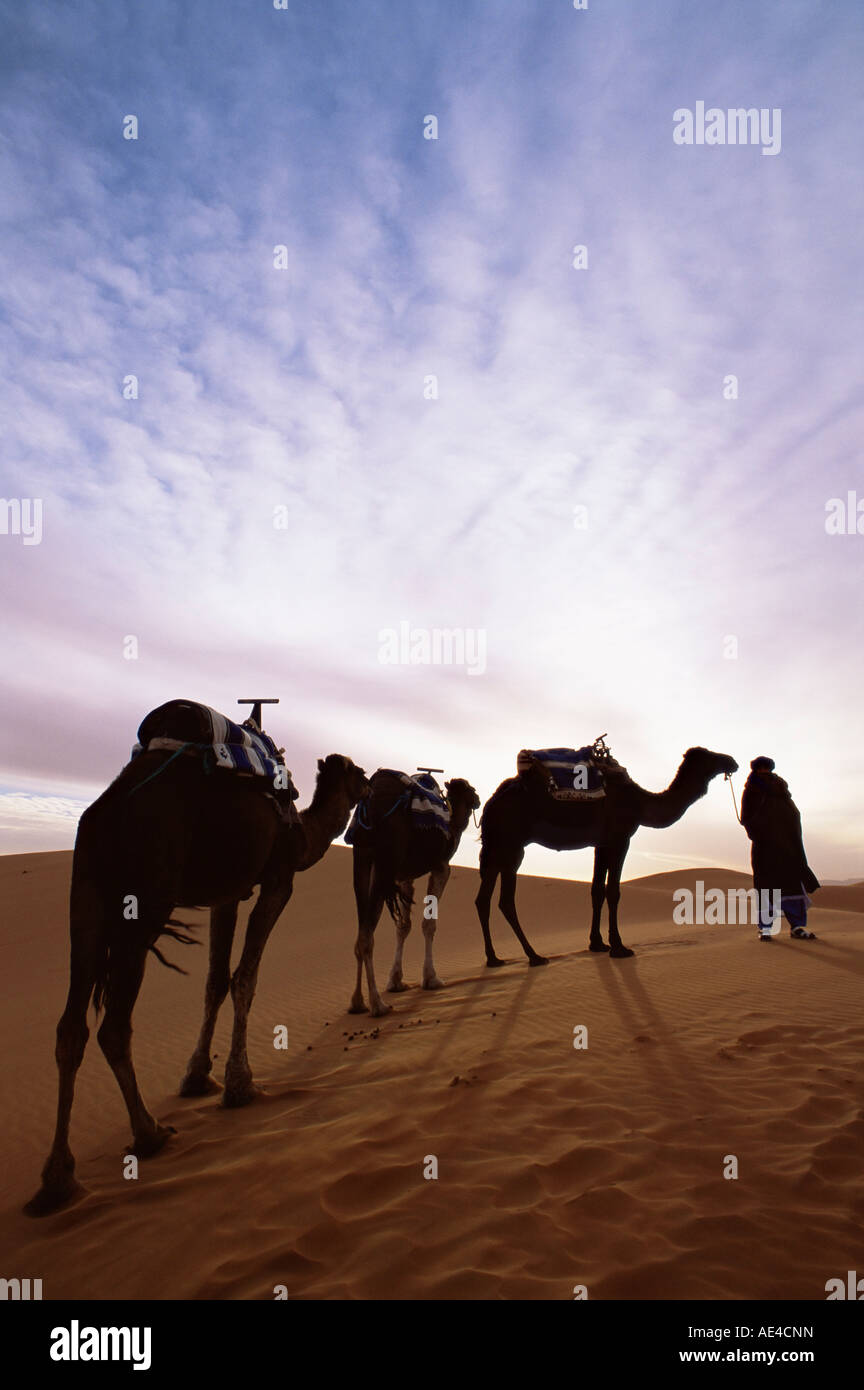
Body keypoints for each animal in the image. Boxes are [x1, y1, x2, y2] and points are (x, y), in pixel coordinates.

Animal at [23, 745, 369, 1212]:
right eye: (359, 773)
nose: (369, 788)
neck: (302, 833)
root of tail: (107, 812)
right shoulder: (278, 880)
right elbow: (244, 978)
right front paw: (240, 1085)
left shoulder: (229, 894)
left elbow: (214, 982)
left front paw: (197, 1076)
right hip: (146, 898)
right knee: (114, 1025)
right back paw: (148, 1133)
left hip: (86, 894)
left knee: (71, 1028)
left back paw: (58, 1178)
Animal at [350, 772, 483, 1011]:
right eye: (470, 789)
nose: (478, 799)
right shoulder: (441, 867)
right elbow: (428, 924)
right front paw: (431, 978)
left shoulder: (404, 878)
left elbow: (403, 926)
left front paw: (396, 981)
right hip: (384, 863)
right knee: (366, 936)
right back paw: (378, 1004)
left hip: (362, 860)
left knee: (361, 931)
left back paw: (357, 1002)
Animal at [477, 750, 738, 967]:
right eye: (710, 755)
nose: (732, 761)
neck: (640, 803)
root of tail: (491, 803)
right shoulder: (620, 839)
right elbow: (613, 891)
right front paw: (619, 947)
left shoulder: (601, 844)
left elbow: (596, 891)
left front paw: (597, 944)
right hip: (511, 845)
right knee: (505, 900)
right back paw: (534, 956)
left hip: (497, 846)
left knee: (483, 899)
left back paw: (494, 958)